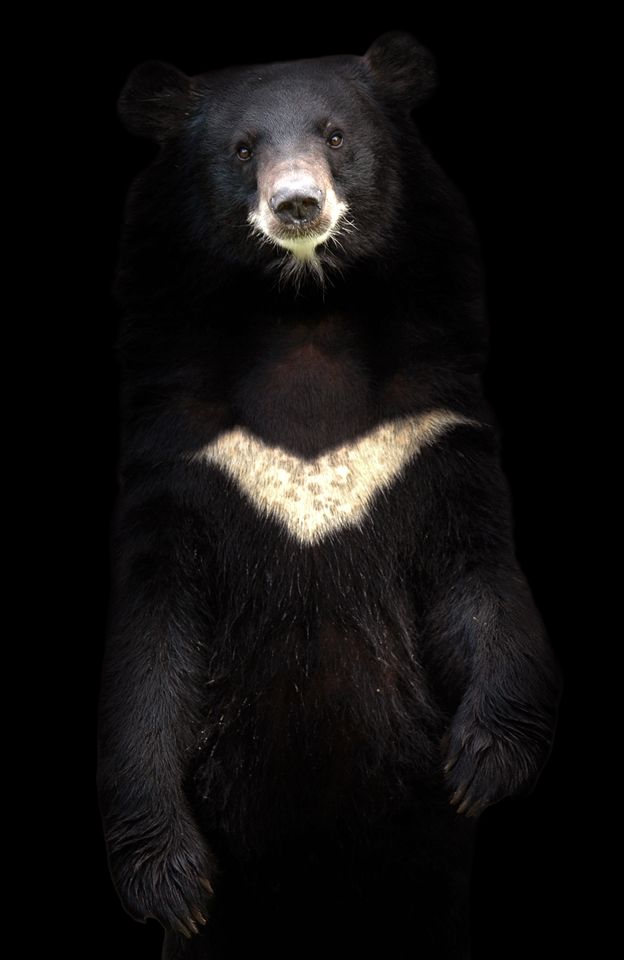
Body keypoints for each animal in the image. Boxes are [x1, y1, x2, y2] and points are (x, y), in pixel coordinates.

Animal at [98, 32, 561, 960]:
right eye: (244, 150)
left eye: (336, 135)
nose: (299, 206)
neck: (304, 319)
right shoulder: (180, 452)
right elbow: (153, 652)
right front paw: (172, 883)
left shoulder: (427, 431)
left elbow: (481, 586)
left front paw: (478, 766)